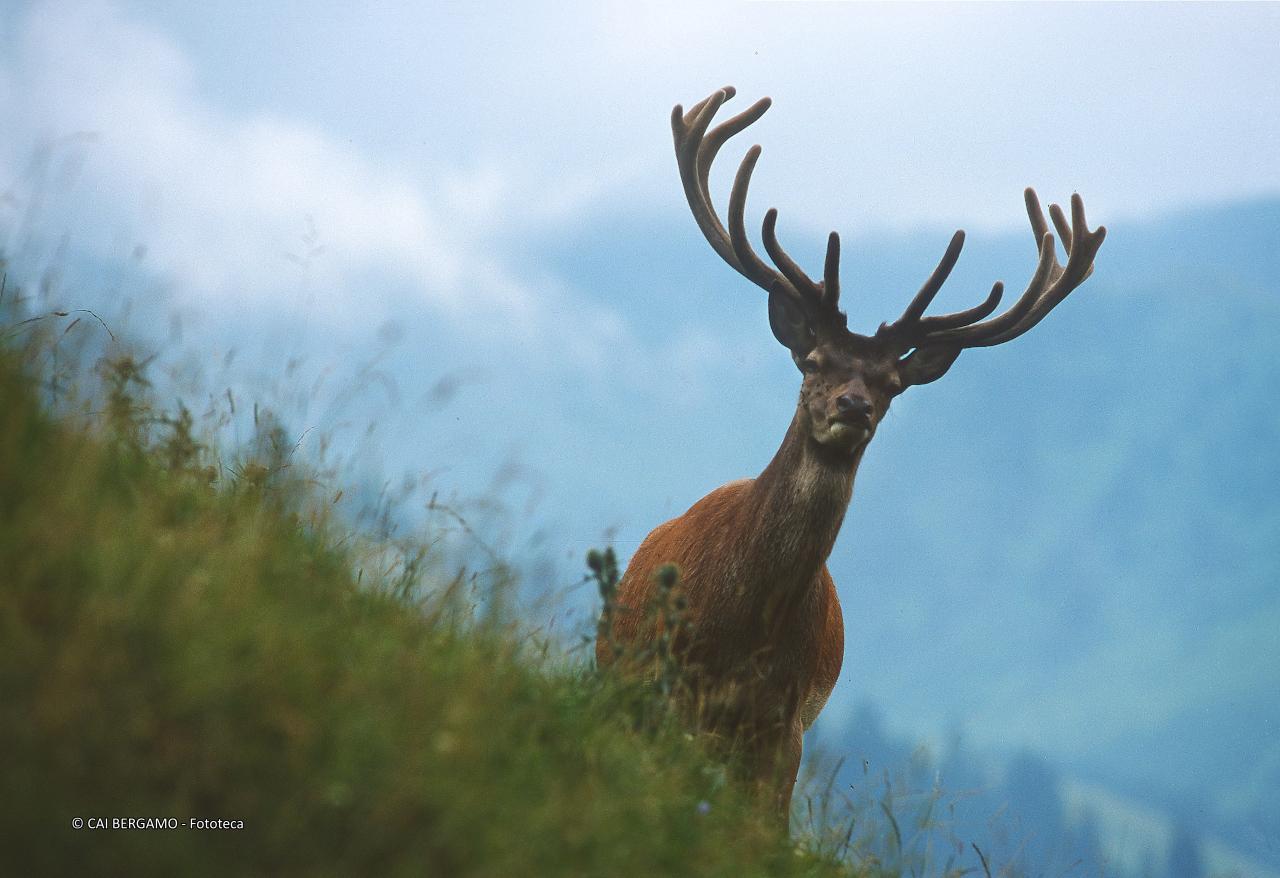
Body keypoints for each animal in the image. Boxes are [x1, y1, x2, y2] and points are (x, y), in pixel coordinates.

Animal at [595, 87, 1106, 825]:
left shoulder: (784, 728)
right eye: (813, 361)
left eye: (892, 384)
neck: (742, 630)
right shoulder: (668, 689)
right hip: (619, 671)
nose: (854, 406)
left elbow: (762, 834)